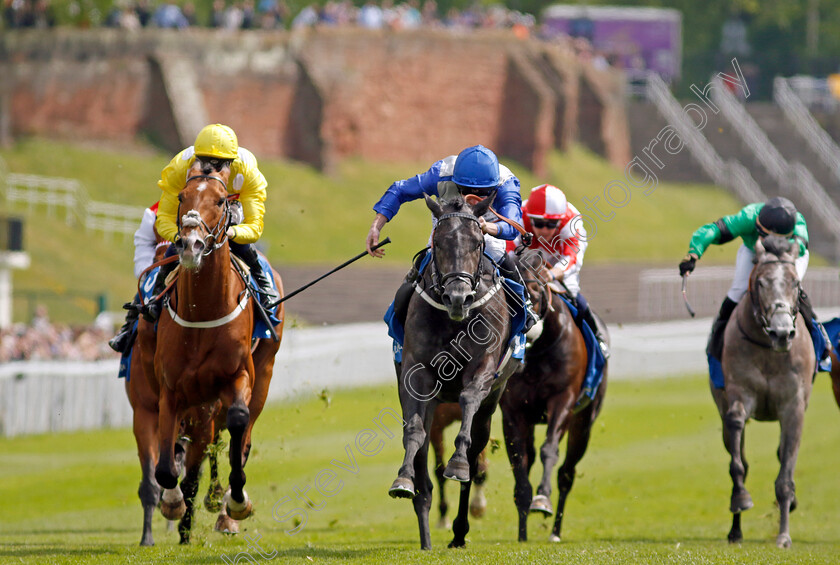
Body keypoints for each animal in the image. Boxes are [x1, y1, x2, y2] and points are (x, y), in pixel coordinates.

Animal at [135, 159, 284, 540]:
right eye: (182, 197)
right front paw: (173, 500)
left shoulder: (239, 375)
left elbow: (238, 422)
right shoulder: (170, 388)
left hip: (263, 373)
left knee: (240, 436)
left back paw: (225, 508)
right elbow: (167, 462)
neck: (202, 310)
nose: (190, 245)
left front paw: (236, 501)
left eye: (220, 200)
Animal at [388, 192, 516, 548]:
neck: (453, 320)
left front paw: (458, 464)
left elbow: (470, 400)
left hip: (490, 407)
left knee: (474, 456)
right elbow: (415, 433)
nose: (458, 297)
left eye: (477, 242)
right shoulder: (417, 374)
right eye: (440, 241)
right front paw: (404, 480)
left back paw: (460, 529)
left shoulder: (484, 368)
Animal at [502, 250, 608, 540]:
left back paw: (556, 531)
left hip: (583, 422)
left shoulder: (563, 400)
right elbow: (519, 463)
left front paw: (542, 499)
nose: (526, 332)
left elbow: (549, 449)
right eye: (510, 296)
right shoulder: (512, 412)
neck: (537, 354)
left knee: (566, 474)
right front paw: (522, 530)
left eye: (537, 291)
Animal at [708, 234, 812, 548]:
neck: (768, 349)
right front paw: (741, 498)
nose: (782, 333)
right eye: (761, 283)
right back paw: (736, 530)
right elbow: (738, 460)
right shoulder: (739, 394)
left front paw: (784, 536)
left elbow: (785, 476)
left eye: (795, 283)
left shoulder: (793, 408)